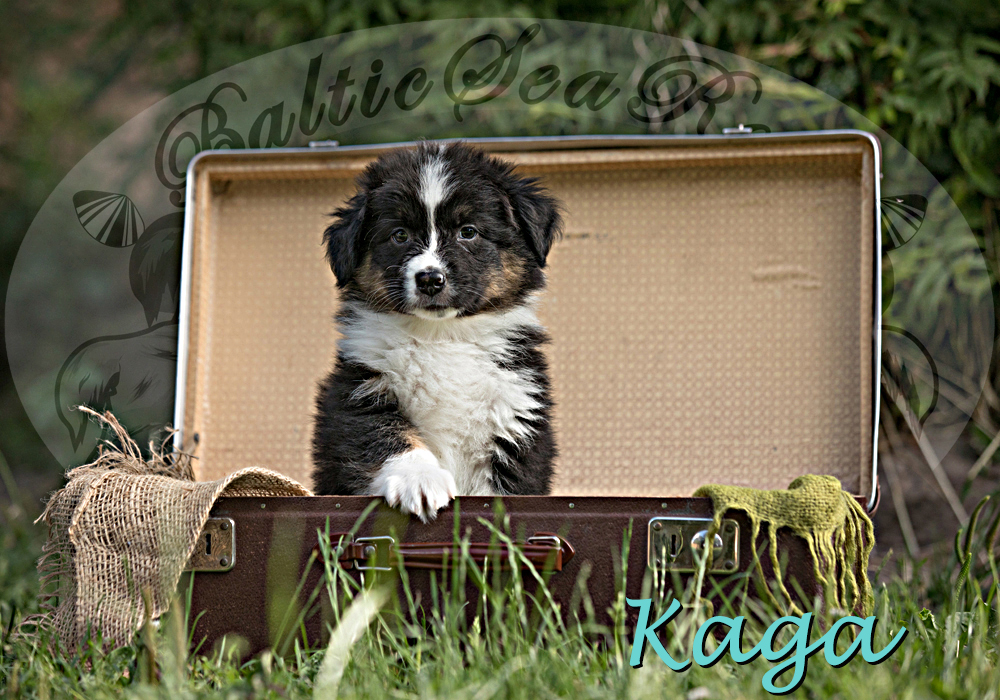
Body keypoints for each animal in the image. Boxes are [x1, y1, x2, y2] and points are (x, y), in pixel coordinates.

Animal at [311, 141, 562, 522]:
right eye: (399, 235)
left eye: (468, 231)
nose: (430, 278)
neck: (442, 335)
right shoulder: (359, 389)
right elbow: (387, 433)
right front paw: (420, 481)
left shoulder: (518, 415)